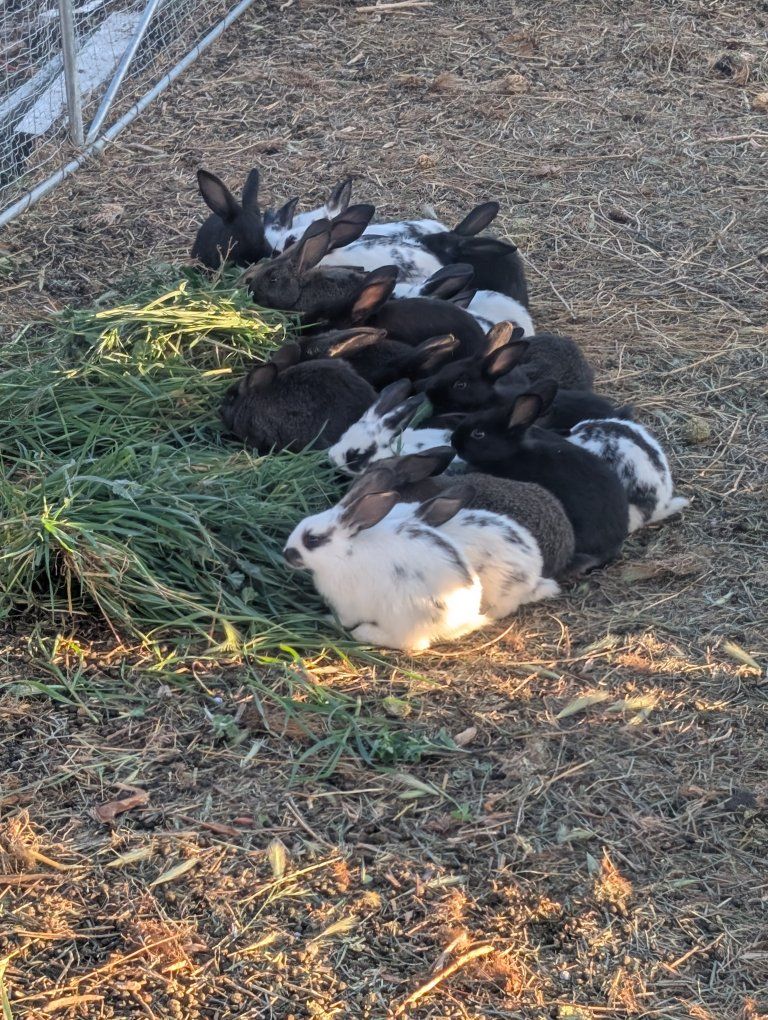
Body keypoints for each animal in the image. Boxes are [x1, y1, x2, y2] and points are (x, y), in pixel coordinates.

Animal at [283, 491, 486, 651]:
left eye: (313, 539)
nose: (286, 554)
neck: (344, 554)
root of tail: (462, 619)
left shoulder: (347, 604)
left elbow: (345, 620)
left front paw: (328, 619)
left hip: (402, 615)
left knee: (411, 644)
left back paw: (364, 633)